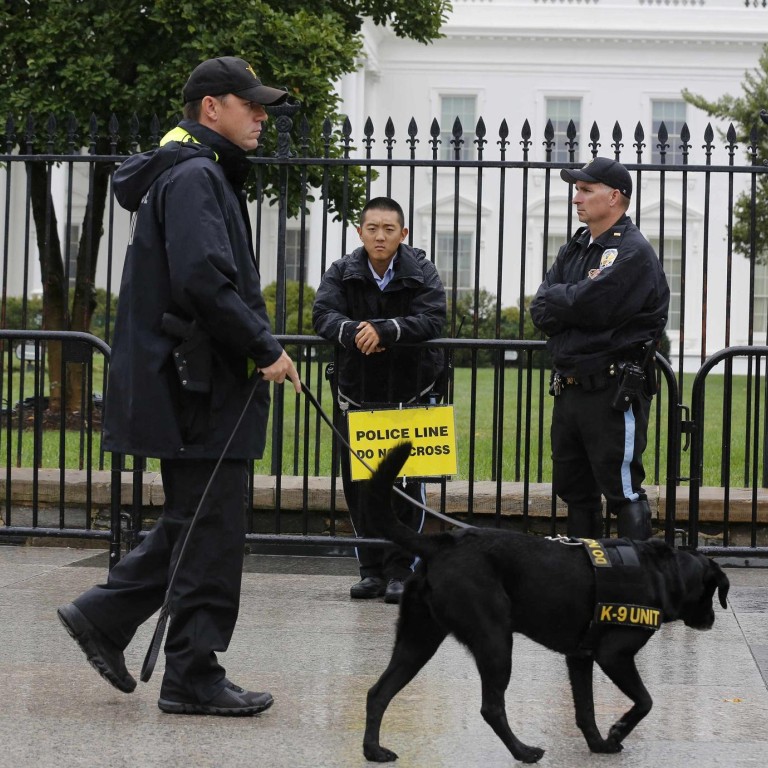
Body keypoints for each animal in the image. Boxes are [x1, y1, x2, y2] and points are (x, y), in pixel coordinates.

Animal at [364, 440, 728, 764]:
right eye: (712, 592)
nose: (712, 620)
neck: (662, 573)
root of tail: (440, 543)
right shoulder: (614, 655)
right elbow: (645, 701)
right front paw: (617, 730)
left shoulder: (580, 657)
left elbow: (585, 709)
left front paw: (598, 744)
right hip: (494, 640)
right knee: (491, 707)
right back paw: (523, 752)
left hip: (418, 639)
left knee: (378, 692)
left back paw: (374, 751)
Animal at [532, 157, 668, 540]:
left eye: (586, 188)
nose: (576, 198)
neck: (598, 238)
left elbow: (574, 297)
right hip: (569, 438)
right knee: (581, 497)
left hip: (613, 430)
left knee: (627, 498)